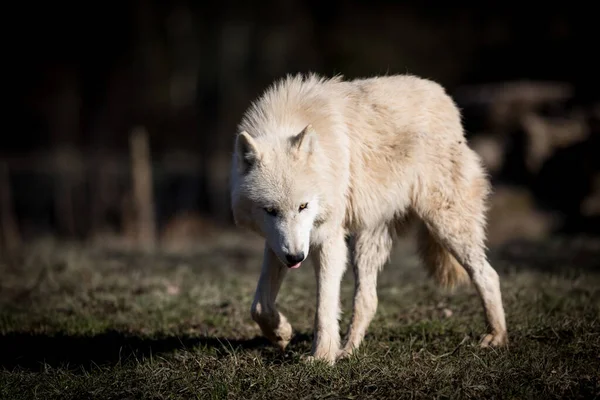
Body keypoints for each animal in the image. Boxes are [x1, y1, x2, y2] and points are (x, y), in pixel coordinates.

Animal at [230, 73, 506, 364]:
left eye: (303, 206)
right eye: (270, 211)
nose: (296, 258)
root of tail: (446, 99)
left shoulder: (327, 239)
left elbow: (324, 307)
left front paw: (321, 357)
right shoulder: (279, 243)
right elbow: (259, 305)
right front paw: (282, 333)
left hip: (446, 225)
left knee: (488, 275)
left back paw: (496, 336)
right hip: (367, 242)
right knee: (368, 300)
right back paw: (348, 350)